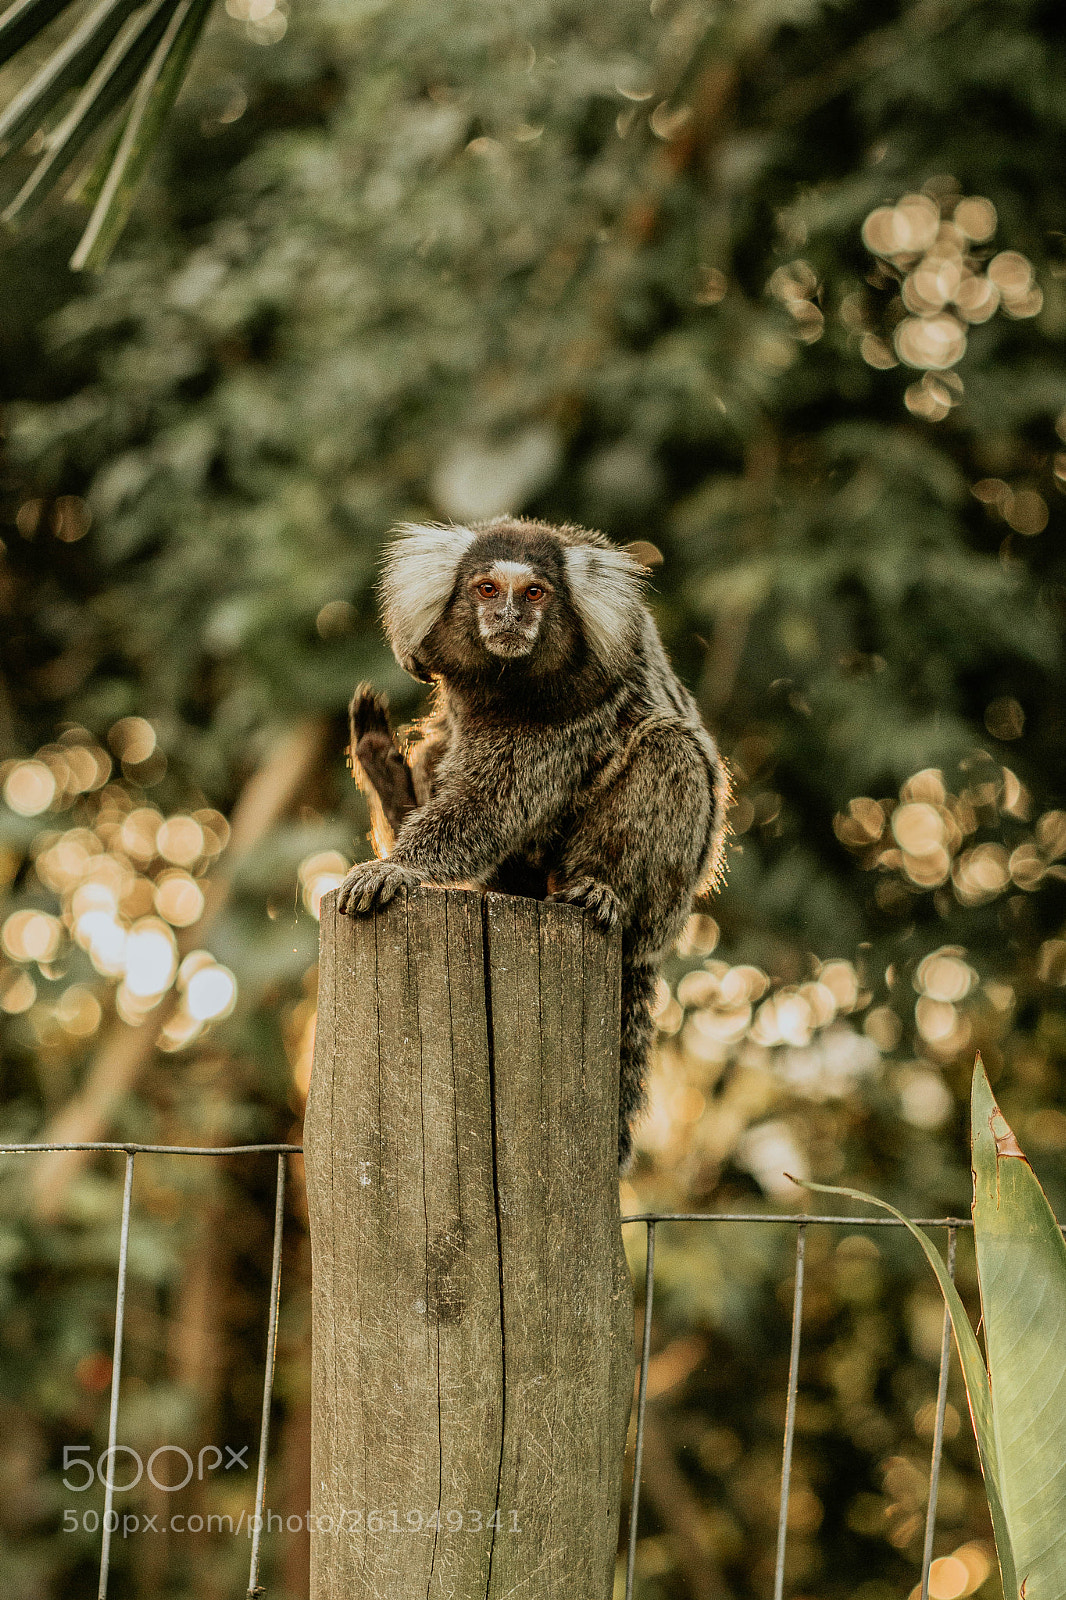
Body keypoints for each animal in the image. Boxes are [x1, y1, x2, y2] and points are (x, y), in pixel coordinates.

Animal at [339, 516, 729, 1168]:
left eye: (535, 593)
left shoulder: (574, 708)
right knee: (439, 746)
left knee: (668, 747)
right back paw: (388, 778)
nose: (510, 618)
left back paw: (597, 889)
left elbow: (494, 803)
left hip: (665, 902)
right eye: (488, 589)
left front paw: (398, 869)